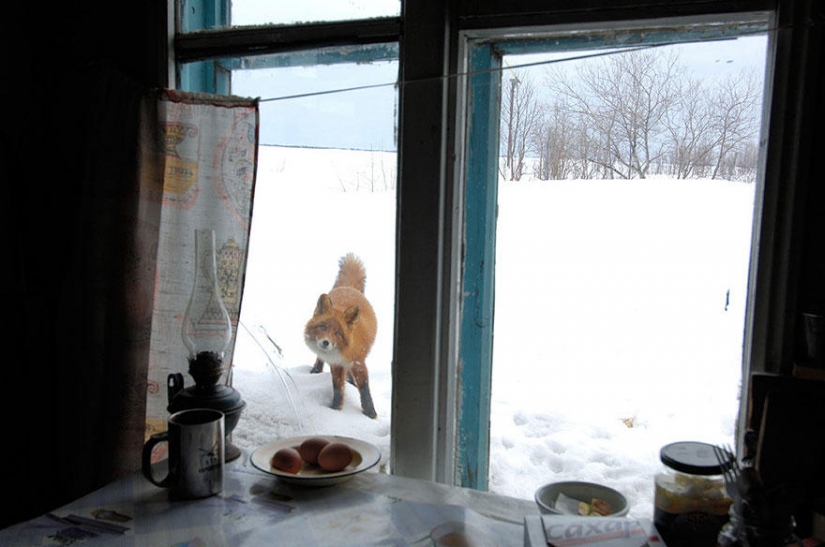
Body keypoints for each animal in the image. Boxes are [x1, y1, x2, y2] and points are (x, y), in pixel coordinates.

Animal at [304, 253, 378, 419]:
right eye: (322, 327)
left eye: (338, 333)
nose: (325, 343)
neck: (344, 352)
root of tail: (348, 287)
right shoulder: (336, 364)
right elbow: (337, 388)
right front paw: (335, 408)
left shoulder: (358, 362)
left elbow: (364, 389)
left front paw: (370, 413)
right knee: (320, 359)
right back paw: (316, 370)